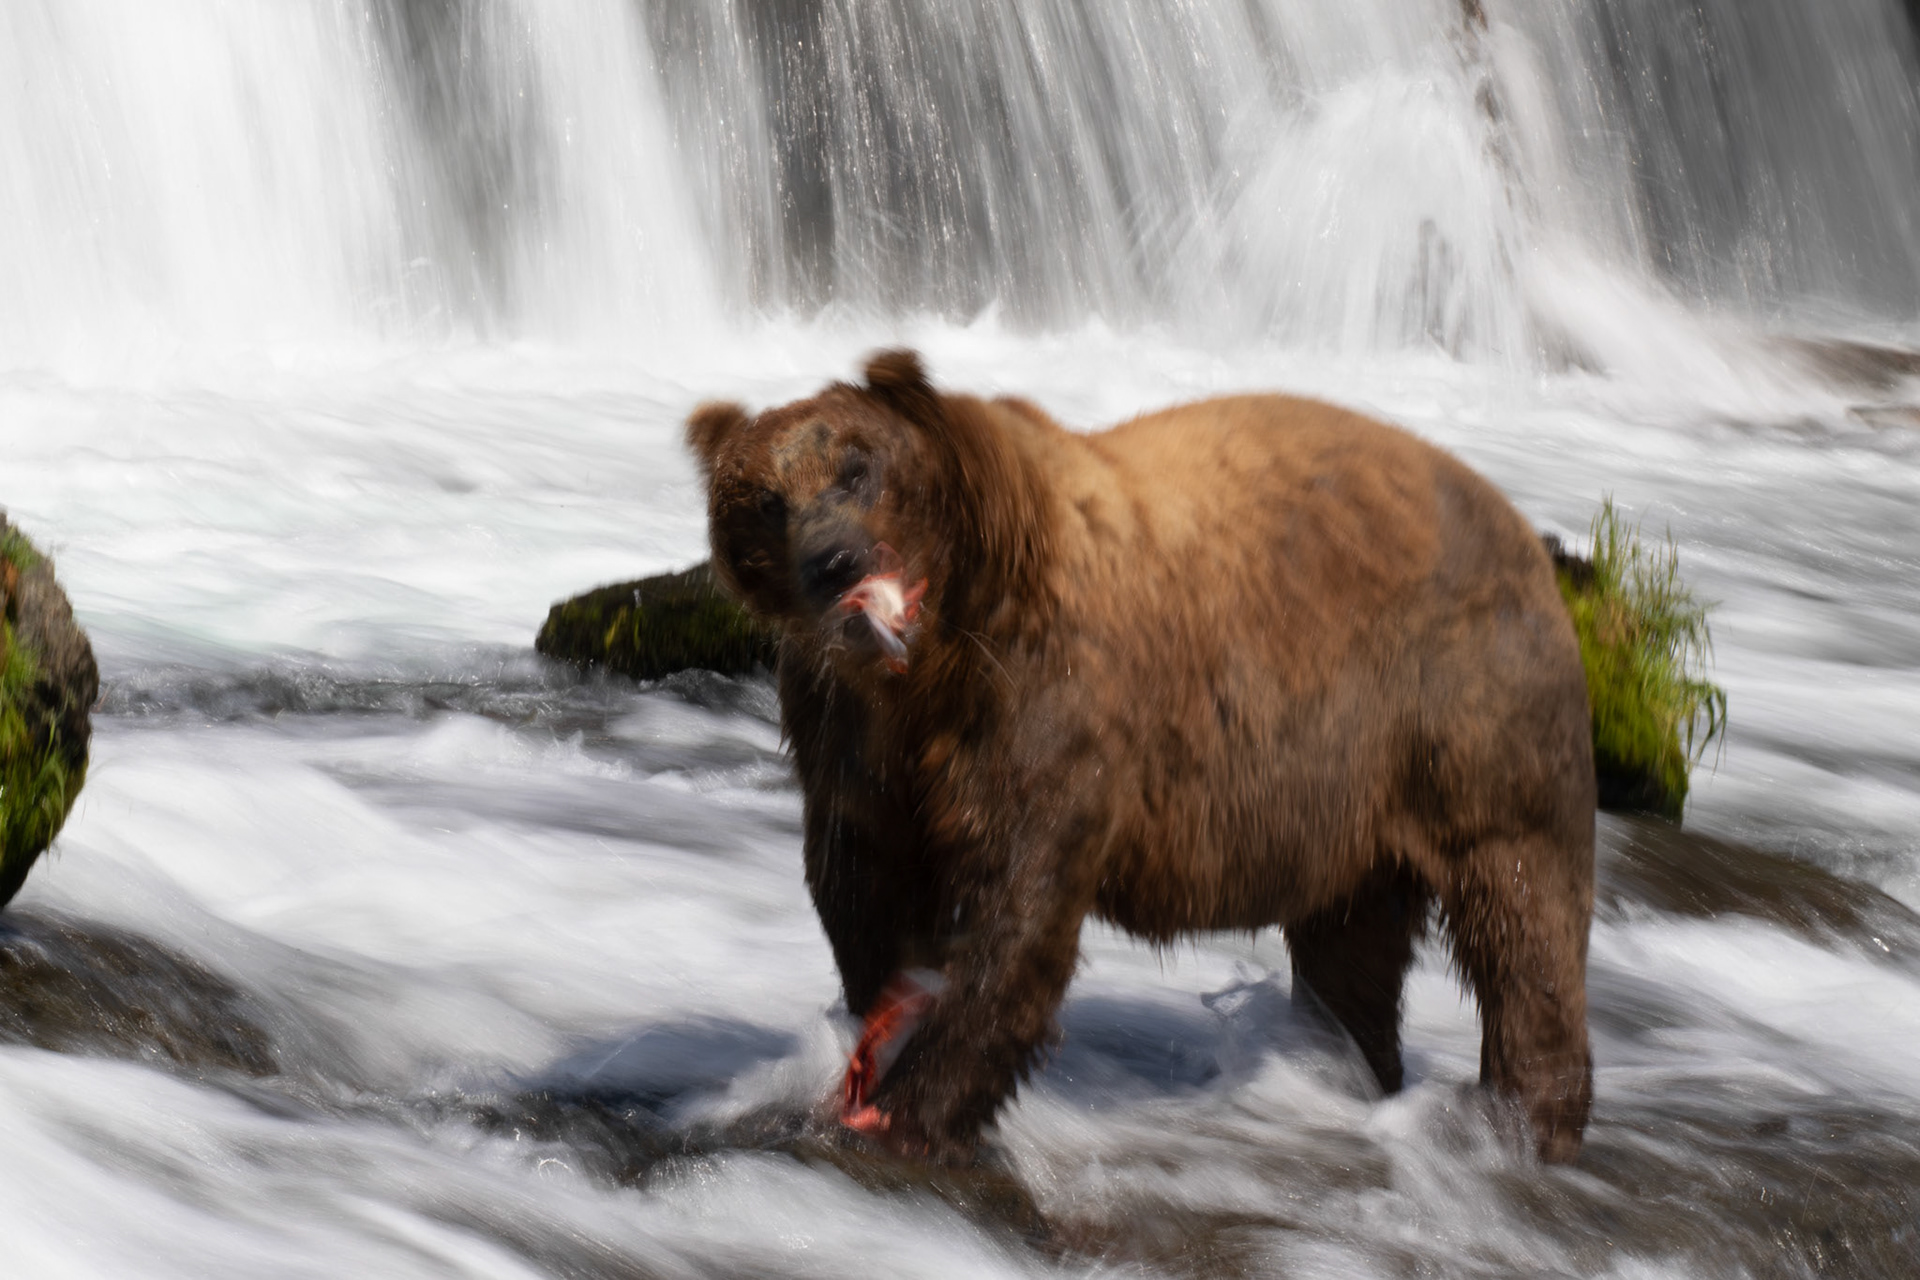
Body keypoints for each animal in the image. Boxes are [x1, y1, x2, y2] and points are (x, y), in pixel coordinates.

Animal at [686, 351, 1595, 1164]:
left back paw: (1522, 1121)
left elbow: (1015, 907)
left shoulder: (1047, 702)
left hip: (1466, 712)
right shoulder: (850, 732)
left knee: (1520, 913)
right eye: (764, 499)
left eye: (856, 468)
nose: (833, 560)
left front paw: (906, 1111)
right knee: (1351, 950)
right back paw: (1348, 1074)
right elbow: (862, 882)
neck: (933, 659)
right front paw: (872, 1042)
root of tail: (1522, 527)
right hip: (1357, 806)